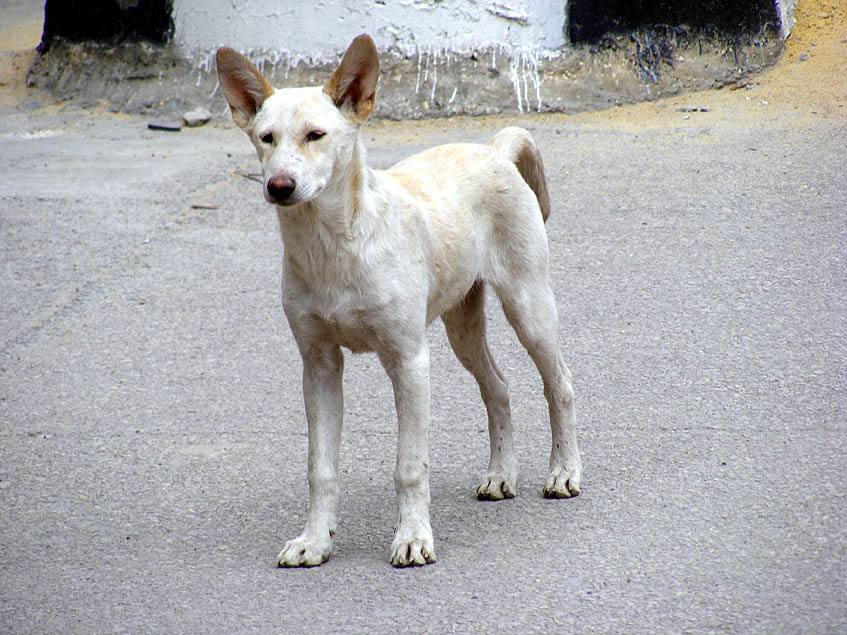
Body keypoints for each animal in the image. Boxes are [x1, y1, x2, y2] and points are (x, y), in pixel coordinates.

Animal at [217, 32, 584, 568]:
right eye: (266, 138)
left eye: (315, 135)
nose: (278, 186)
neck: (335, 248)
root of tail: (492, 150)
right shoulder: (319, 366)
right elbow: (320, 468)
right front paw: (315, 540)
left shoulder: (409, 361)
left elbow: (409, 466)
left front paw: (412, 537)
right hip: (462, 328)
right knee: (498, 388)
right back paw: (501, 474)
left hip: (529, 308)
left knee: (559, 385)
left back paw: (564, 471)